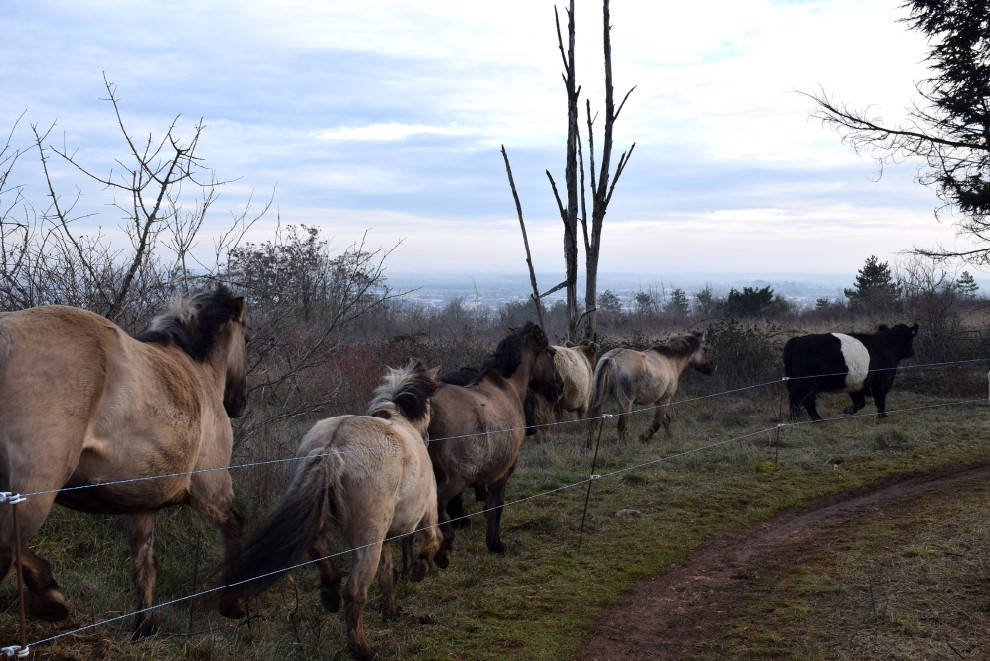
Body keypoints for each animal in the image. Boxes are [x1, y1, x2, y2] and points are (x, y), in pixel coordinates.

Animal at [0, 286, 248, 637]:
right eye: (247, 336)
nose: (239, 402)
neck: (198, 373)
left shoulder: (142, 503)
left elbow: (144, 565)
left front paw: (143, 628)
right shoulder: (211, 489)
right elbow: (236, 527)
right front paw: (235, 603)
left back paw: (49, 595)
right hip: (35, 489)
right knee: (7, 545)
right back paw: (48, 596)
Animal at [219, 359, 441, 661]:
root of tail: (332, 446)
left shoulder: (386, 537)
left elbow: (387, 573)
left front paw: (391, 610)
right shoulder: (427, 512)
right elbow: (432, 540)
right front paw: (421, 569)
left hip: (337, 522)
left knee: (319, 549)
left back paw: (330, 593)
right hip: (368, 538)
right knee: (355, 591)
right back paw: (362, 649)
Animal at [426, 321, 562, 563]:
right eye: (552, 353)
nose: (559, 389)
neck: (506, 387)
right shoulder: (504, 470)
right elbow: (495, 507)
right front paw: (495, 544)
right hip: (453, 480)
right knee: (438, 509)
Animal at [586, 331, 714, 447]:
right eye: (705, 349)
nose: (713, 368)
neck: (669, 360)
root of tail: (612, 359)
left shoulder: (660, 400)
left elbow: (666, 420)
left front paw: (669, 437)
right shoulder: (665, 400)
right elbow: (657, 423)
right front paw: (644, 437)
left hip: (601, 399)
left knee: (593, 421)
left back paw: (588, 447)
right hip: (626, 403)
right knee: (621, 426)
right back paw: (624, 447)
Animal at [783, 323, 919, 421]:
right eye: (911, 338)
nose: (912, 351)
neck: (888, 345)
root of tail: (797, 340)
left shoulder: (856, 384)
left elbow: (860, 402)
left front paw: (848, 410)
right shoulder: (883, 382)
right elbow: (880, 401)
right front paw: (883, 417)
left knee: (807, 399)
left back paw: (817, 419)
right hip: (804, 382)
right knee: (797, 397)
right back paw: (796, 419)